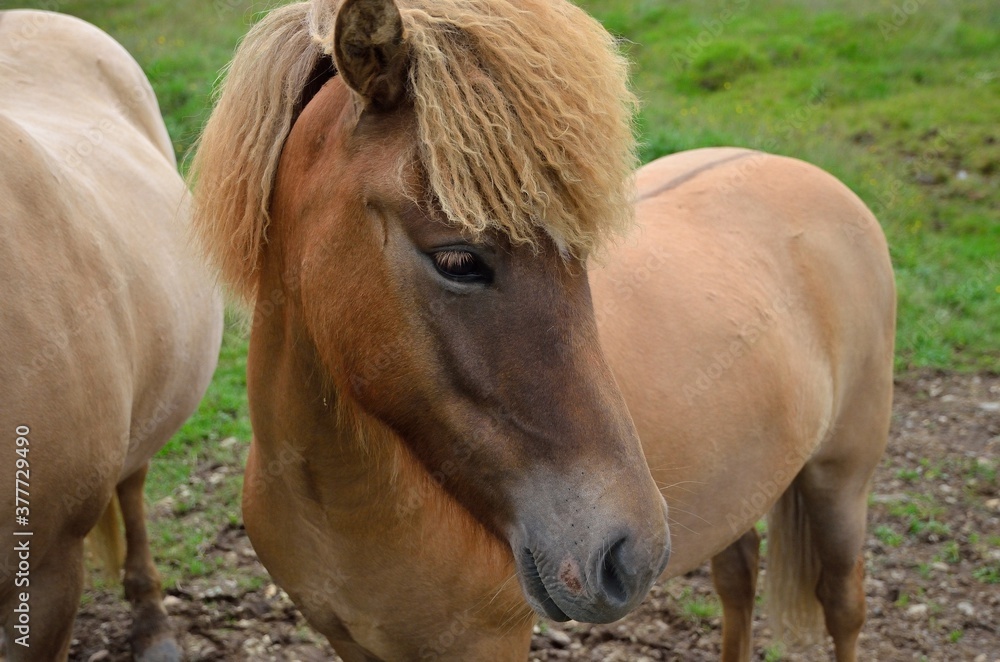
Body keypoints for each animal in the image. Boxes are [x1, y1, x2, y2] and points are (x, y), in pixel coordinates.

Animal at [190, 0, 894, 660]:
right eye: (458, 260)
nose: (631, 553)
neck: (343, 504)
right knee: (737, 578)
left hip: (840, 483)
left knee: (843, 605)